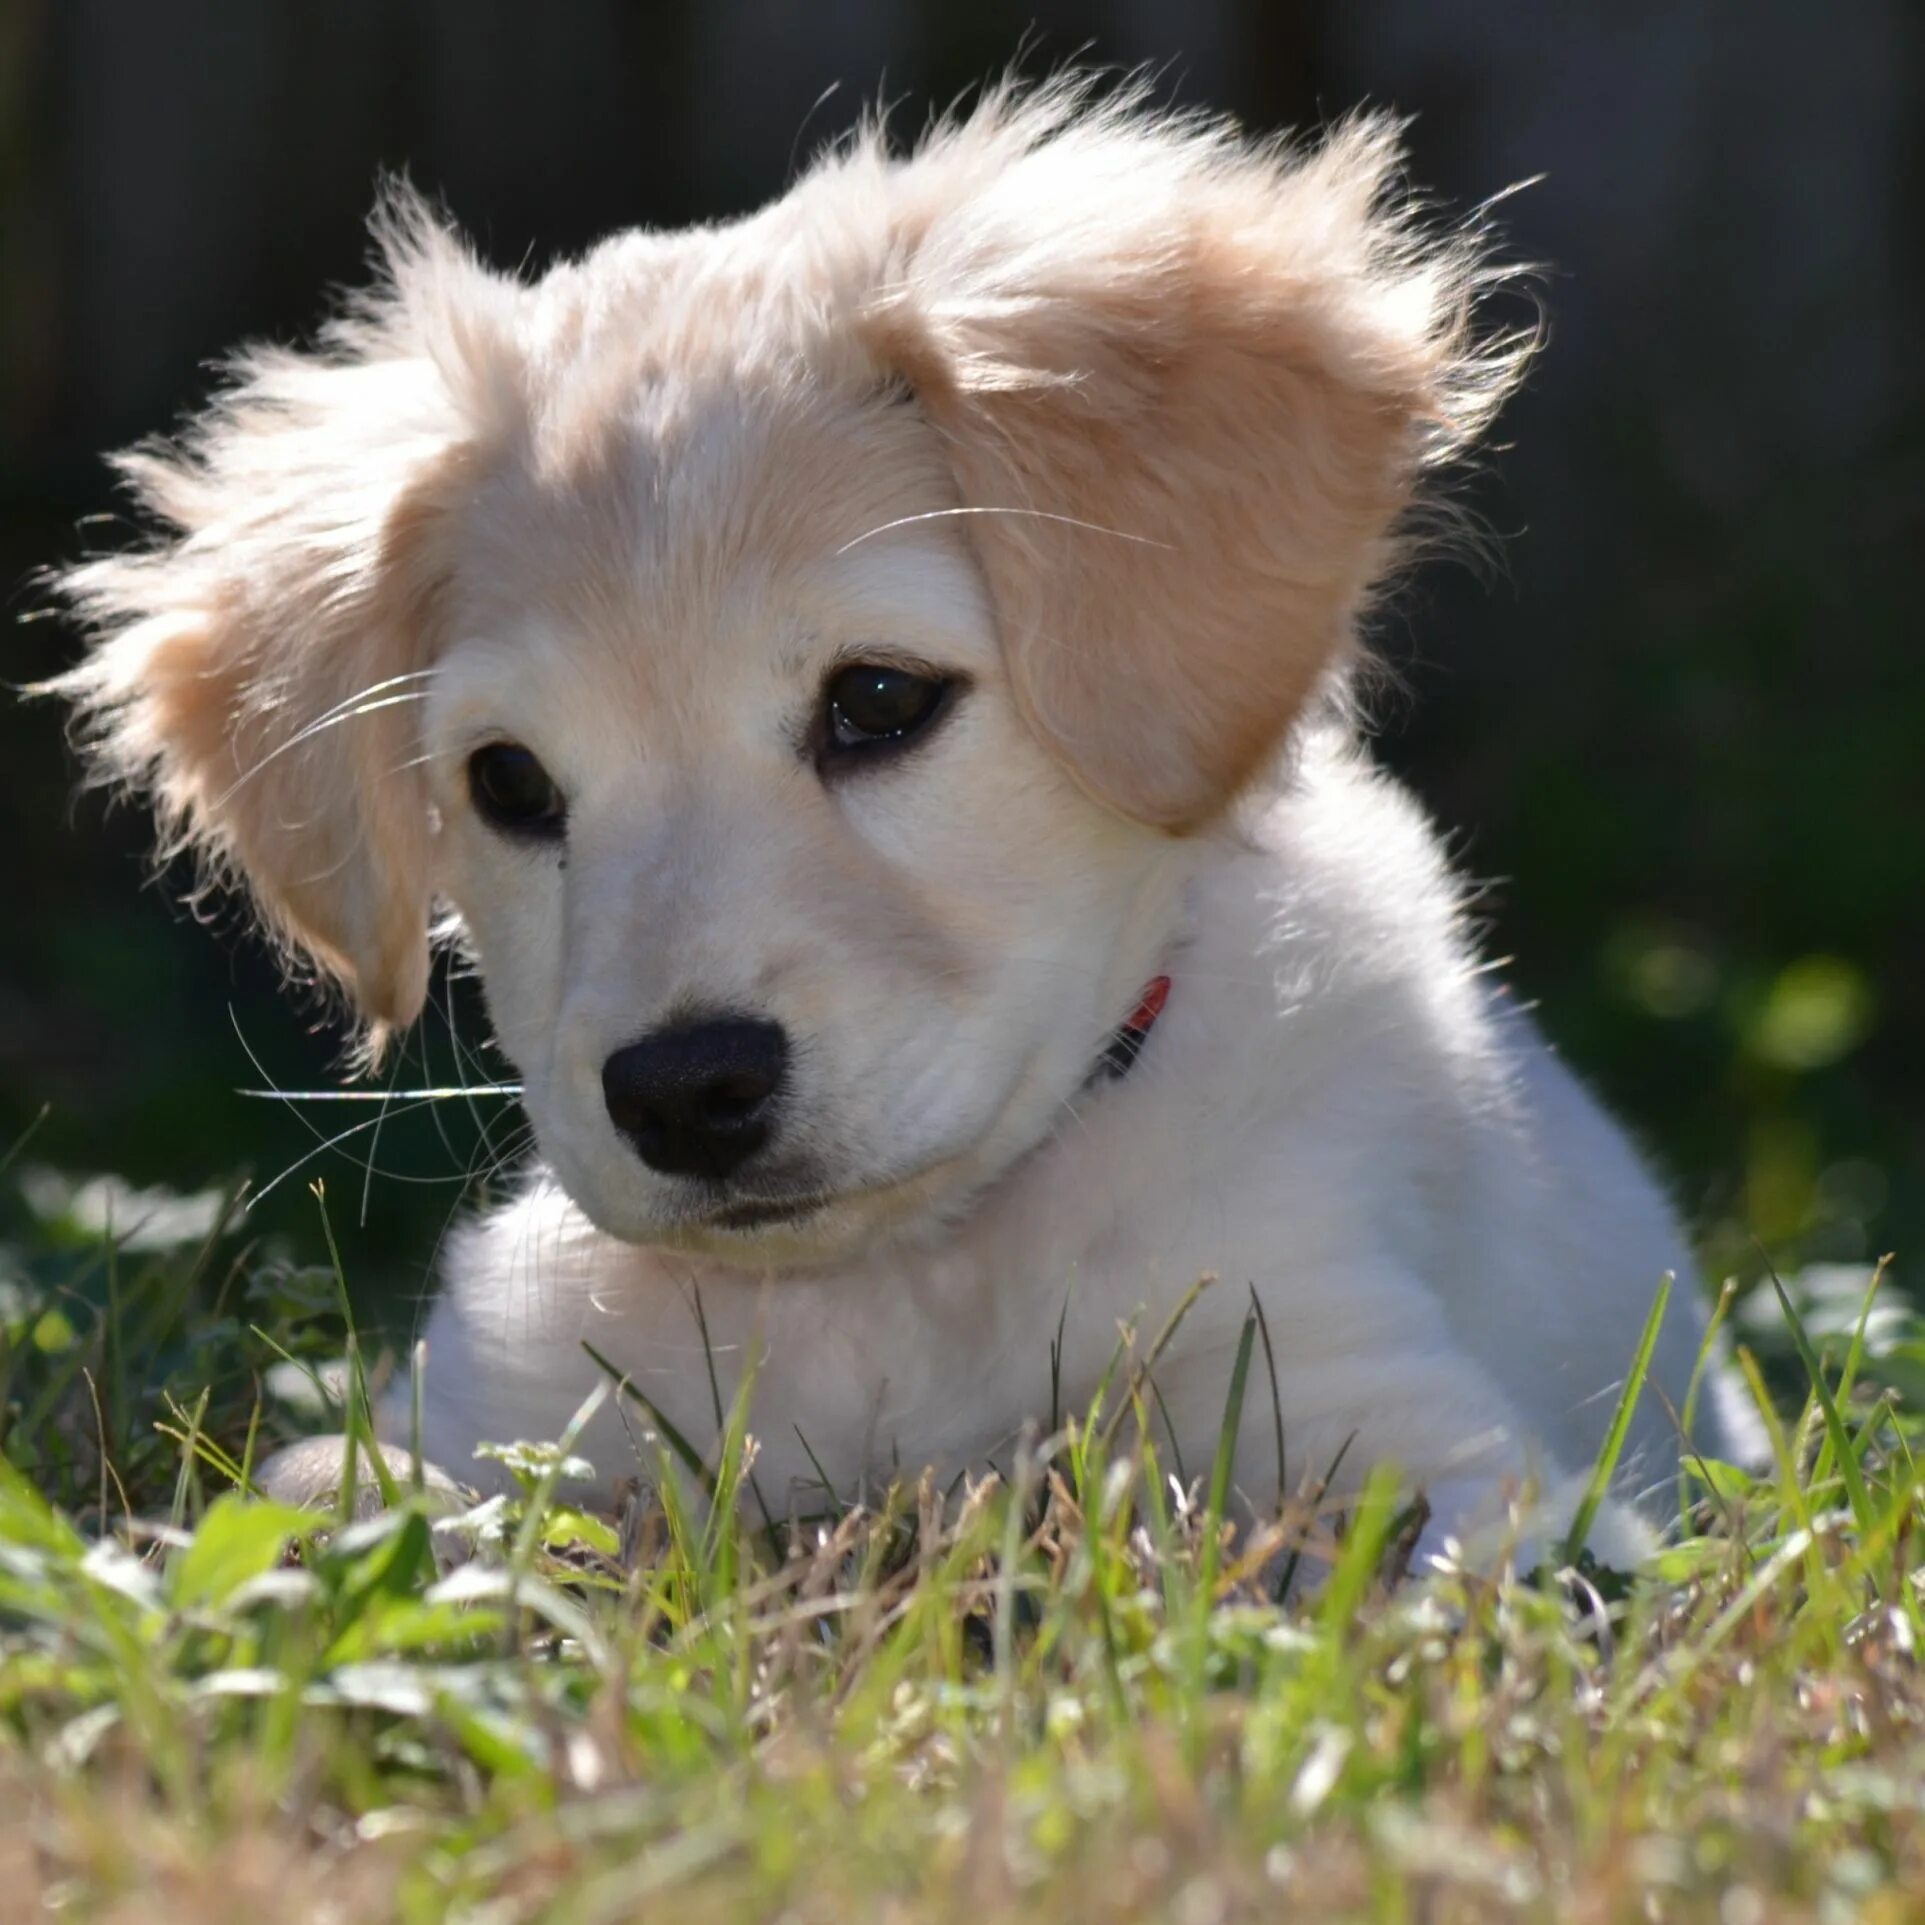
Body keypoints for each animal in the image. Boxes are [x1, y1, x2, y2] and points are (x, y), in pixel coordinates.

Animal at [48, 82, 1763, 1570]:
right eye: (511, 785)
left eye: (877, 698)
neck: (901, 1285)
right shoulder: (486, 1426)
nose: (683, 1095)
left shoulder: (1397, 1426)